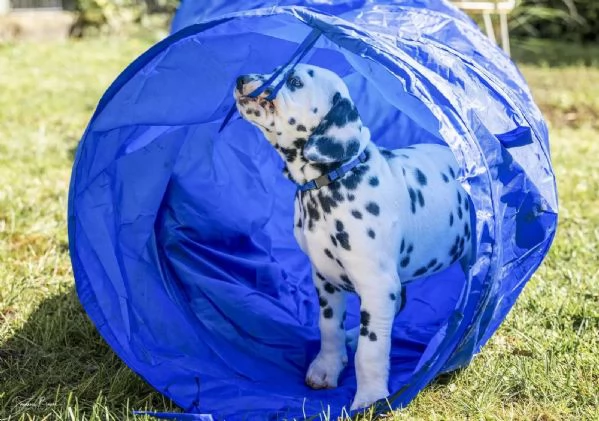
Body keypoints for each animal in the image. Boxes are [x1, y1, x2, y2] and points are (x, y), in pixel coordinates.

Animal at [234, 64, 474, 408]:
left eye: (294, 81)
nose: (240, 79)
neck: (332, 182)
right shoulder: (324, 278)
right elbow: (329, 328)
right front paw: (327, 367)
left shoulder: (377, 285)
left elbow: (370, 350)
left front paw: (370, 399)